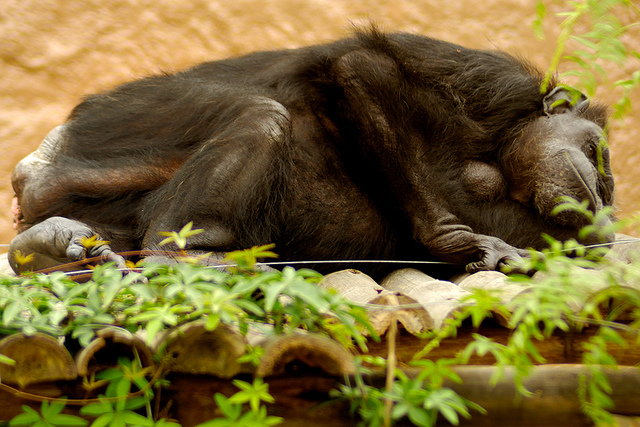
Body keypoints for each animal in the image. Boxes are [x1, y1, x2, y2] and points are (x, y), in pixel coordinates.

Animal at [8, 29, 616, 278]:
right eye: (599, 153)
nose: (603, 188)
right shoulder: (494, 80)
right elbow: (361, 71)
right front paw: (461, 242)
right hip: (123, 120)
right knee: (262, 115)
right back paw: (179, 253)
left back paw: (48, 246)